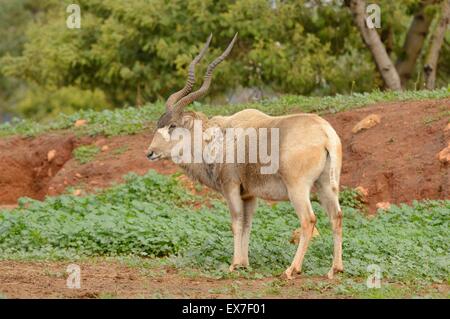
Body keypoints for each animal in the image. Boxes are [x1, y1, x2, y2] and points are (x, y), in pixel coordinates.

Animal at [146, 35, 342, 280]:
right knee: (336, 216)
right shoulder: (249, 195)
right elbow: (247, 223)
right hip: (326, 186)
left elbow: (236, 221)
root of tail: (325, 133)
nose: (150, 152)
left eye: (172, 125)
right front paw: (244, 263)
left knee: (308, 220)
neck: (219, 137)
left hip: (298, 189)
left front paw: (234, 264)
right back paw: (335, 269)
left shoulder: (231, 187)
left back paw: (291, 269)